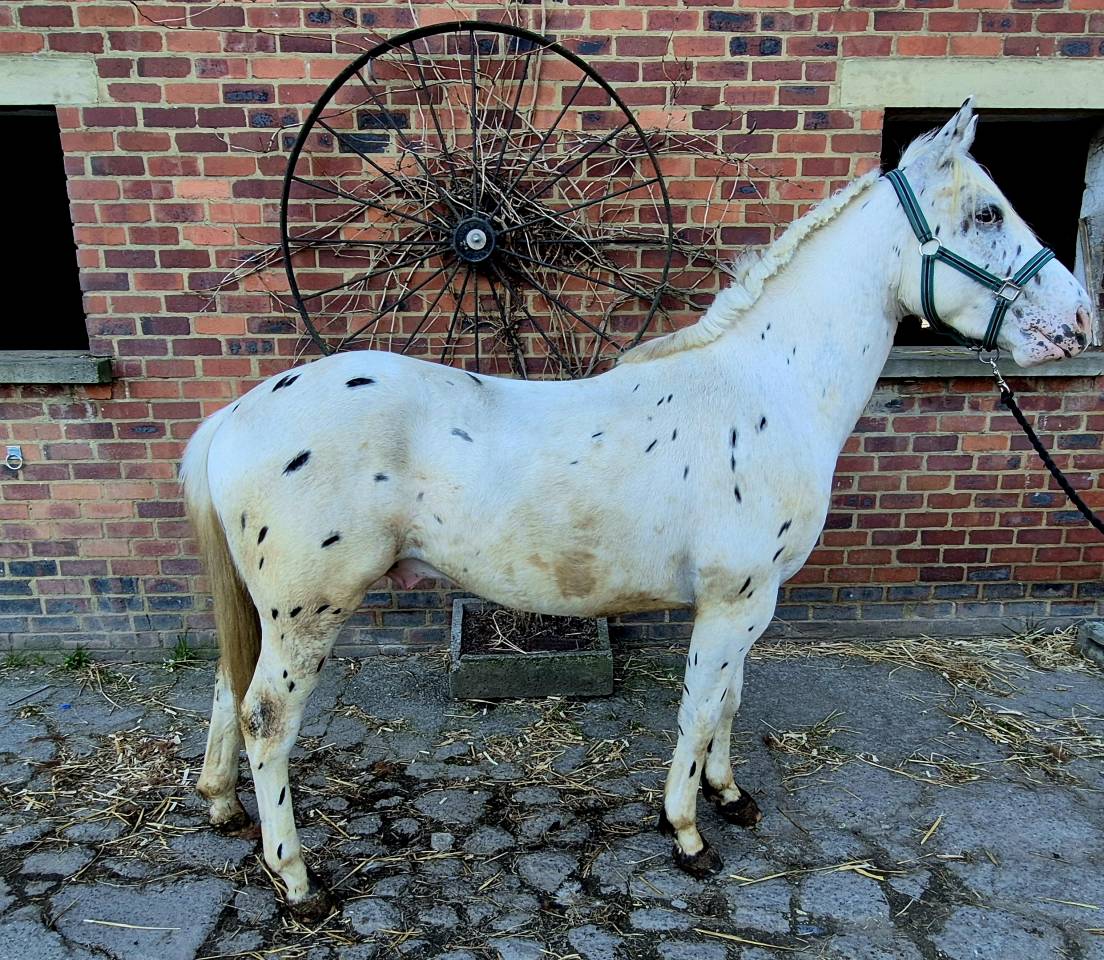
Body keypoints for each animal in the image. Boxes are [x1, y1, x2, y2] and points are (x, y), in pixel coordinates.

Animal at [182, 99, 1093, 918]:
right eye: (987, 211)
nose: (1082, 320)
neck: (770, 388)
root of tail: (238, 415)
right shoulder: (733, 600)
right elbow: (698, 707)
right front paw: (687, 834)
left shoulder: (752, 602)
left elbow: (728, 701)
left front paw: (730, 796)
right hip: (308, 612)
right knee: (267, 720)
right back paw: (296, 880)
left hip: (267, 608)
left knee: (229, 690)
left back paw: (221, 806)